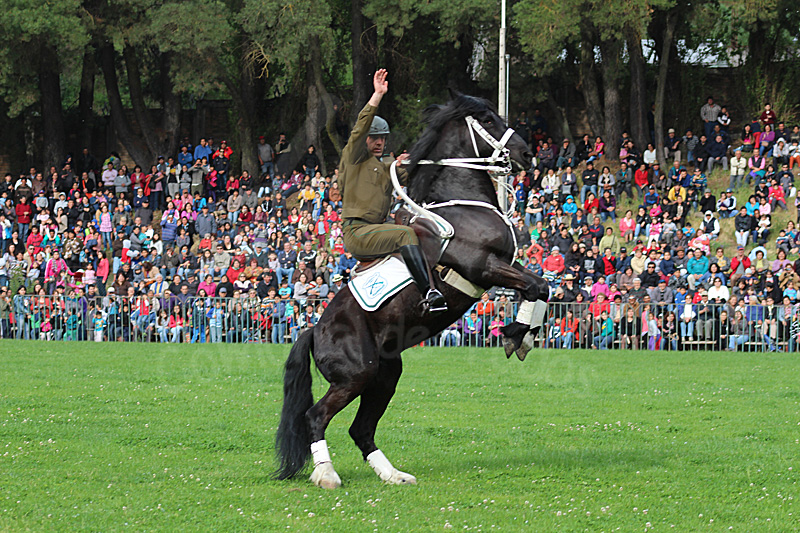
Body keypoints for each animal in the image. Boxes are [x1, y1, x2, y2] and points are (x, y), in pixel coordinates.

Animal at [275, 93, 550, 488]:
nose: (527, 154)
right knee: (316, 416)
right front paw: (518, 335)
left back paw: (393, 475)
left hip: (385, 375)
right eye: (487, 120)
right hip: (356, 375)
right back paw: (327, 474)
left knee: (361, 429)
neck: (461, 205)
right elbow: (537, 286)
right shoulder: (483, 266)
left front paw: (521, 334)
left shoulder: (502, 268)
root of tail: (314, 330)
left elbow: (540, 287)